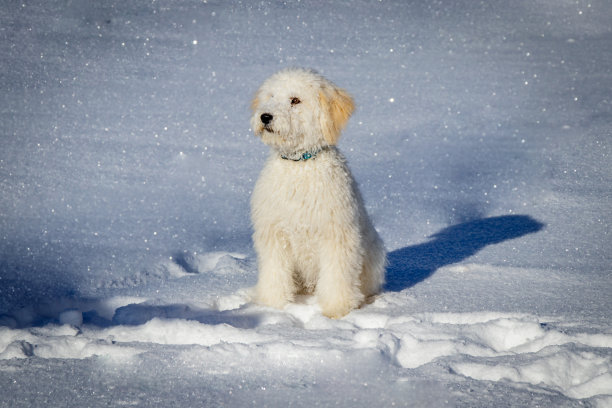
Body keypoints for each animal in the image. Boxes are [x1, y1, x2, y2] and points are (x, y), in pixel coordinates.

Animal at [247, 67, 382, 318]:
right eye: (271, 96)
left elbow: (336, 277)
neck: (300, 165)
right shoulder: (275, 233)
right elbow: (274, 274)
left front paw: (336, 310)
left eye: (295, 100)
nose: (265, 116)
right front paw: (271, 307)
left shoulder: (336, 234)